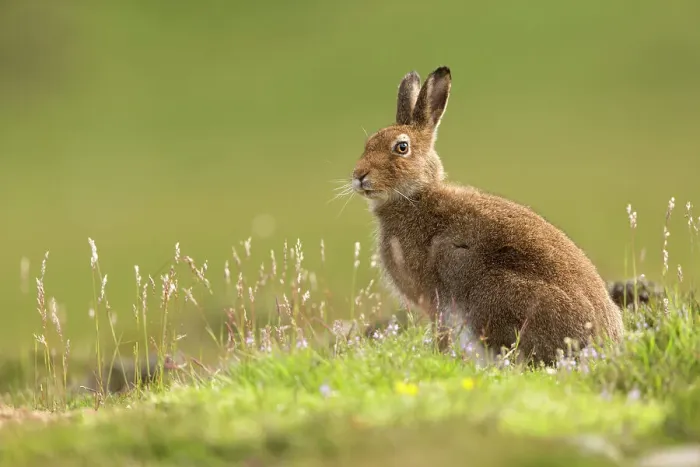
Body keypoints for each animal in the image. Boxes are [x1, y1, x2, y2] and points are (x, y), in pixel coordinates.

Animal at [349, 65, 624, 365]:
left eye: (401, 147)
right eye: (368, 143)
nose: (358, 176)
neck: (415, 197)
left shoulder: (438, 303)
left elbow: (441, 334)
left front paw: (438, 357)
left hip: (492, 299)